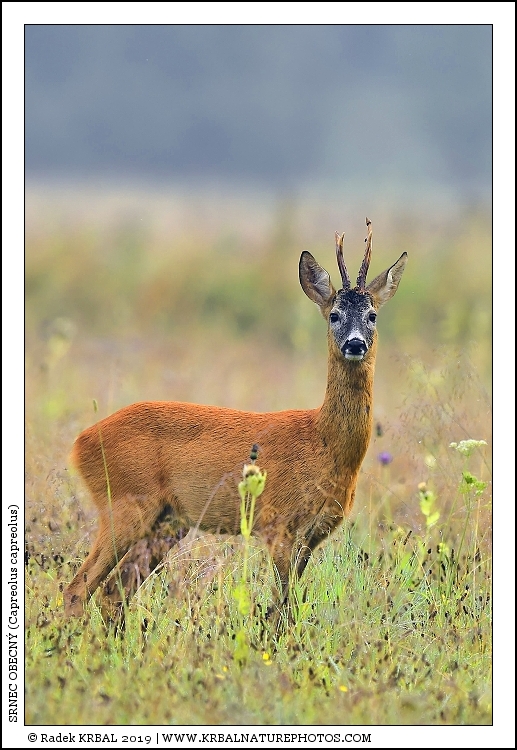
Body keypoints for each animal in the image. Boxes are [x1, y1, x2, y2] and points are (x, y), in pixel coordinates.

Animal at [64, 218, 407, 621]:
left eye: (373, 315)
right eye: (335, 314)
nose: (355, 344)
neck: (323, 443)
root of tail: (80, 442)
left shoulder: (313, 534)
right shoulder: (277, 523)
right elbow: (282, 608)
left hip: (167, 522)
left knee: (113, 593)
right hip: (124, 504)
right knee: (78, 588)